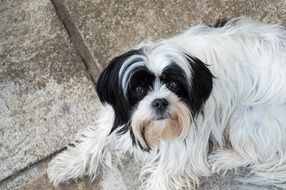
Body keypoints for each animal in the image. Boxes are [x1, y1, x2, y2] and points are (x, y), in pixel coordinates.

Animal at [47, 17, 286, 189]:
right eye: (138, 89)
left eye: (173, 84)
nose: (160, 102)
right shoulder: (119, 118)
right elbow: (96, 140)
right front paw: (69, 163)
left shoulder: (183, 150)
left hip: (247, 119)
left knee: (256, 154)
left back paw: (225, 157)